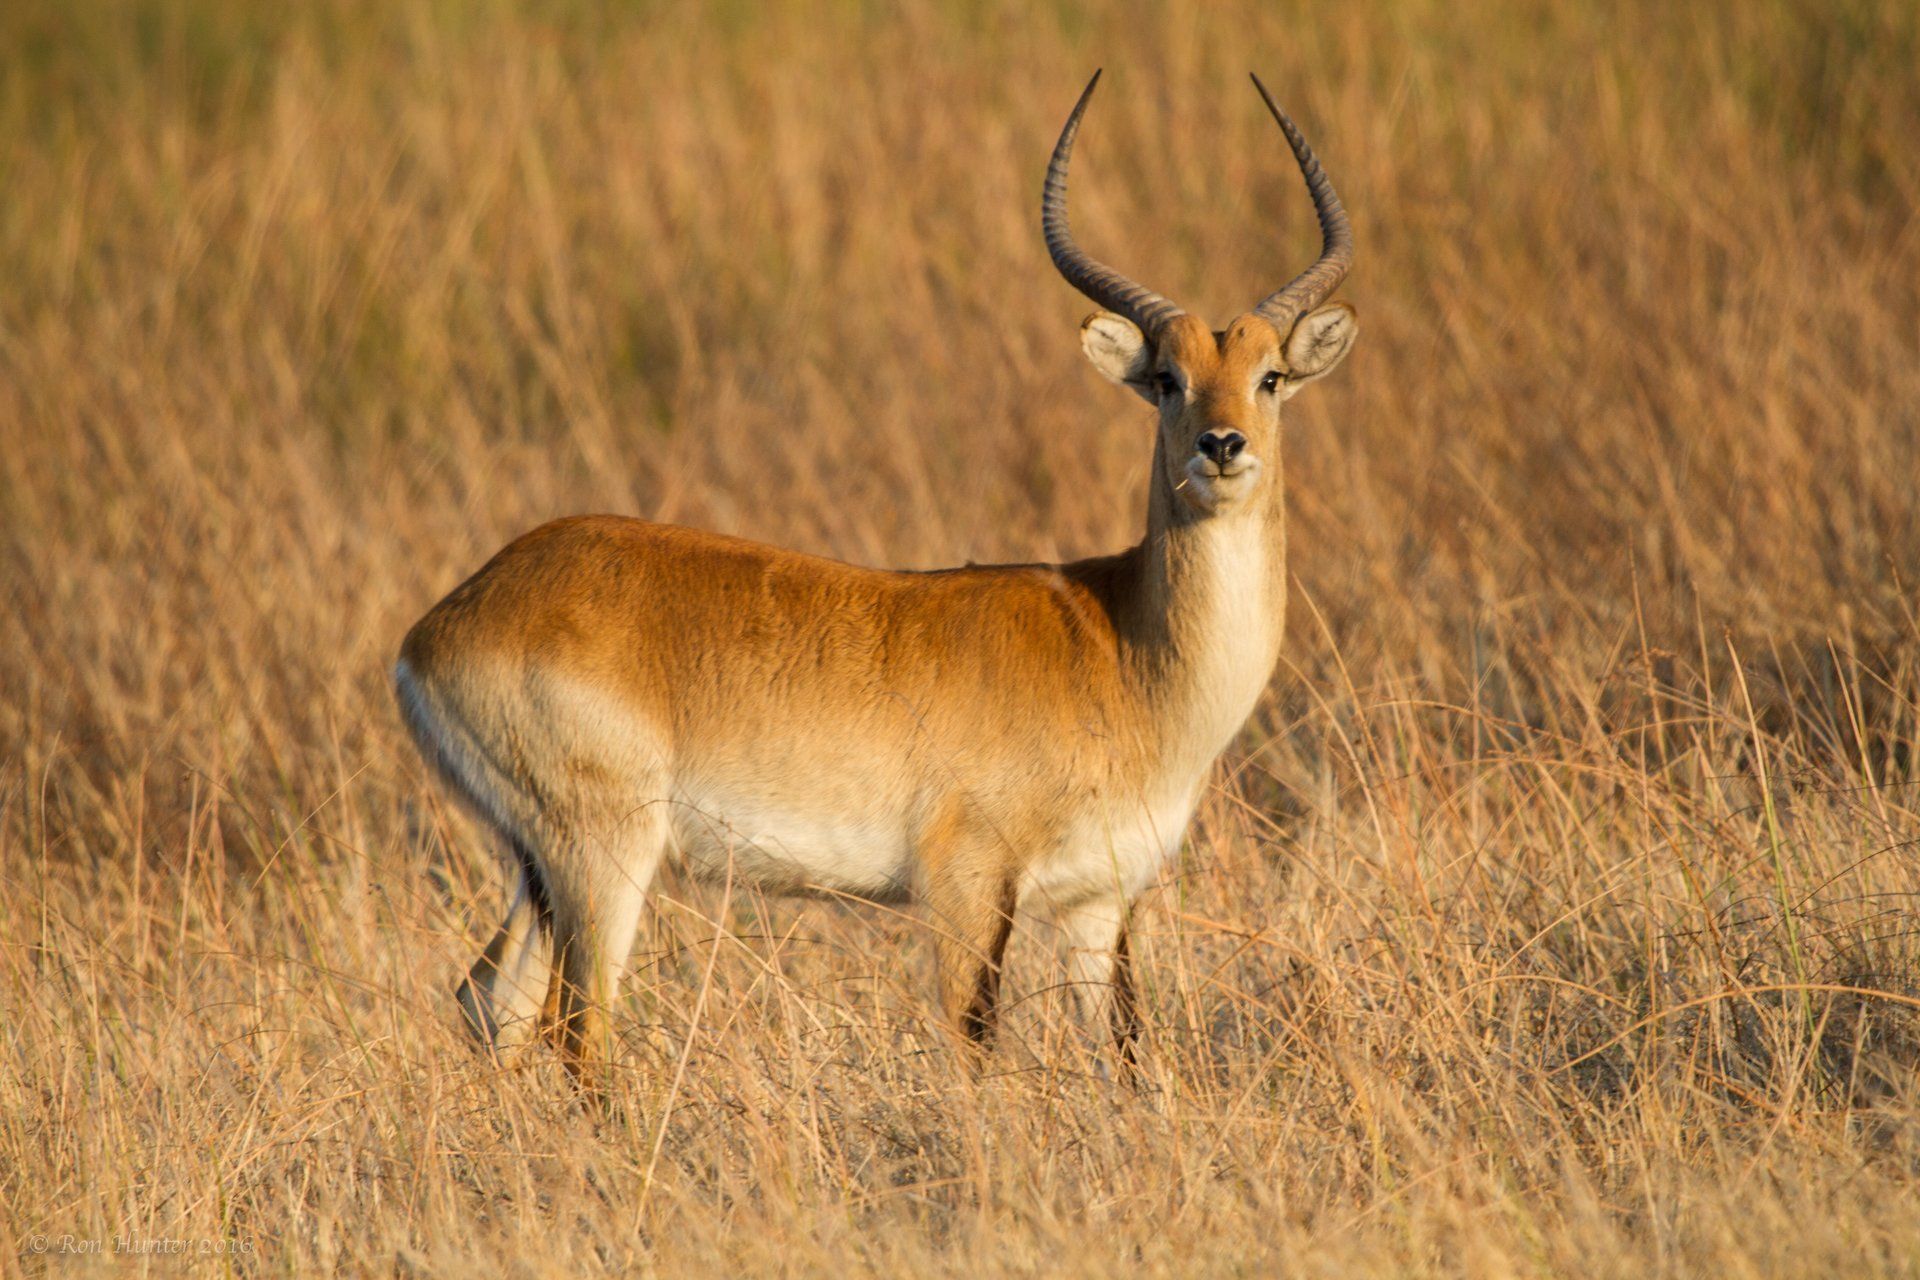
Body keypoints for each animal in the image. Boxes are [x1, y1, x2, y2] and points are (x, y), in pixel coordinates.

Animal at [395, 71, 1357, 1088]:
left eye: (1271, 375)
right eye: (1168, 377)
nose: (1223, 446)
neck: (1120, 643)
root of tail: (442, 622)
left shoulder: (1099, 903)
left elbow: (1128, 1059)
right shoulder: (966, 884)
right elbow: (974, 1051)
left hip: (539, 867)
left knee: (488, 1000)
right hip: (603, 854)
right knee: (580, 1029)